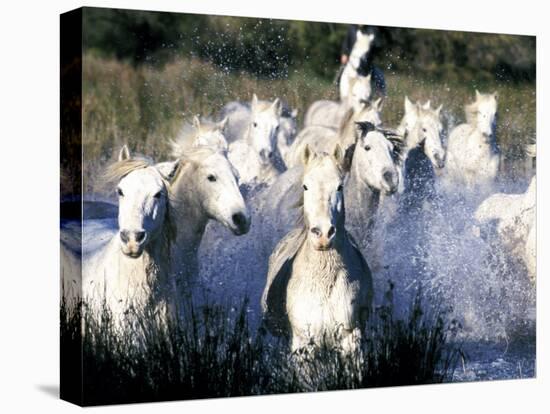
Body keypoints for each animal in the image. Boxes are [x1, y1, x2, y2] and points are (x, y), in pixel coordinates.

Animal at [264, 145, 376, 352]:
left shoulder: (350, 337)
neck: (324, 280)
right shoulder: (303, 342)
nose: (323, 233)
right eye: (305, 186)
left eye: (340, 186)